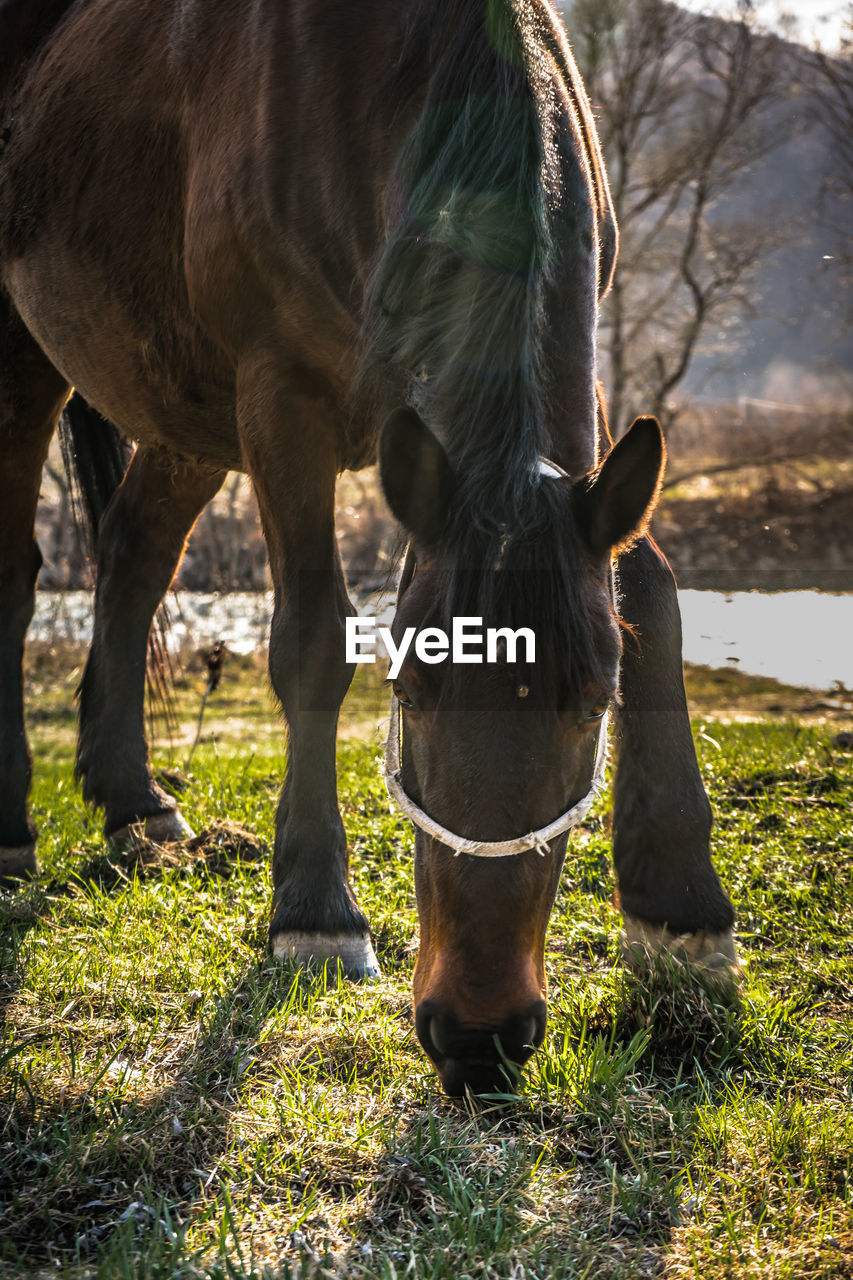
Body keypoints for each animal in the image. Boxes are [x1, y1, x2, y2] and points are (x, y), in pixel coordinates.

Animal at [0, 2, 732, 1100]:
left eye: (592, 699)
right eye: (411, 689)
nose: (479, 1033)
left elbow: (649, 590)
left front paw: (680, 908)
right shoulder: (280, 397)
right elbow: (309, 636)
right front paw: (314, 912)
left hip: (180, 404)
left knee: (131, 560)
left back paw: (135, 803)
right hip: (27, 355)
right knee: (18, 575)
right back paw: (11, 827)